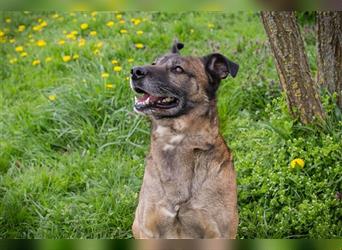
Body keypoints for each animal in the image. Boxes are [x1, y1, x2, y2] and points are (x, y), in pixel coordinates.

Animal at [130, 40, 239, 238]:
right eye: (154, 62)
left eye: (178, 69)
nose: (135, 71)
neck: (176, 142)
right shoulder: (148, 229)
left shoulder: (218, 233)